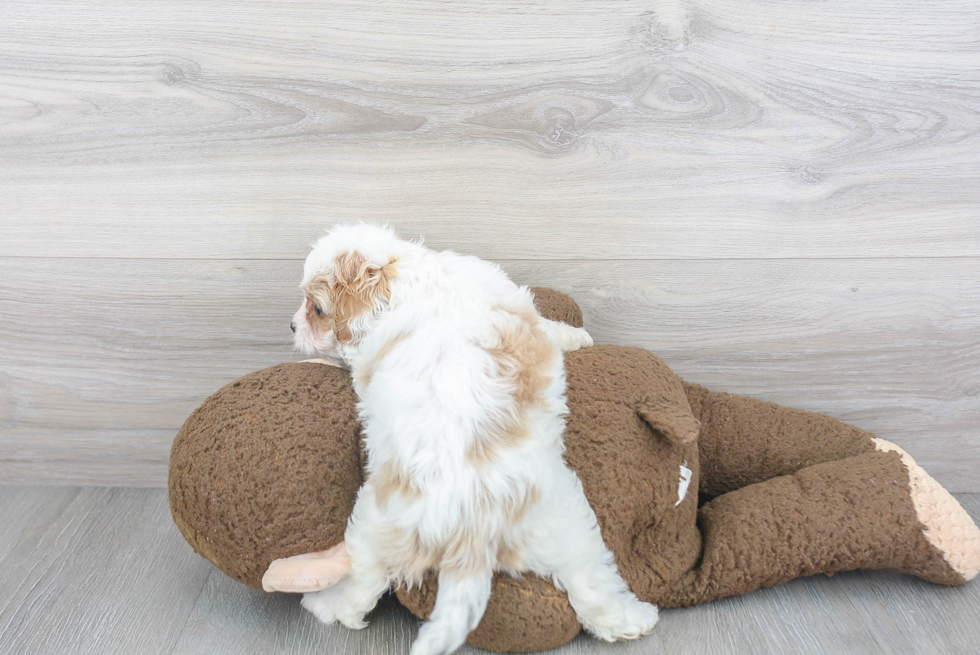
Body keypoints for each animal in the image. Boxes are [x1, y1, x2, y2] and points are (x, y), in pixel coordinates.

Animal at [290, 223, 660, 652]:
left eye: (316, 309)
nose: (292, 326)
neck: (402, 277)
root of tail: (468, 524)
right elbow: (550, 327)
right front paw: (578, 336)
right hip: (562, 517)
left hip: (387, 531)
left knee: (360, 589)